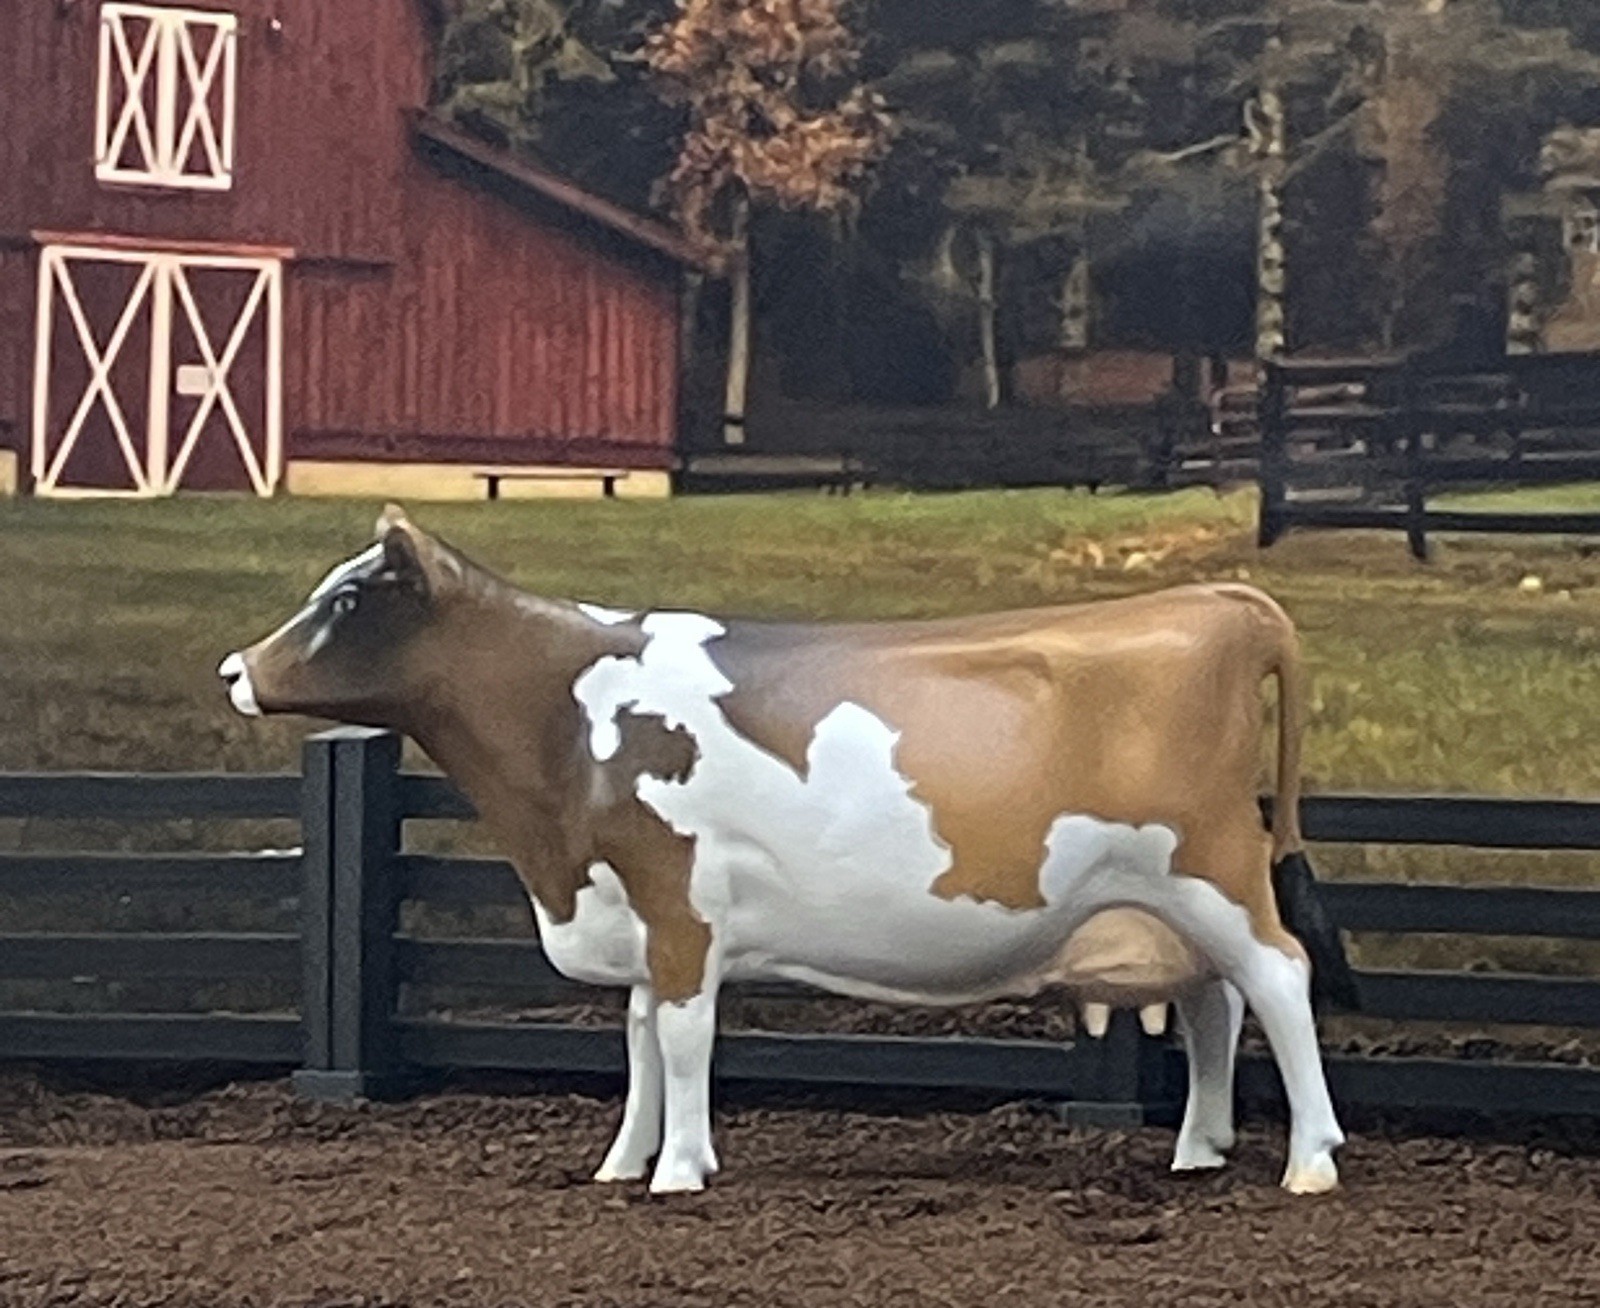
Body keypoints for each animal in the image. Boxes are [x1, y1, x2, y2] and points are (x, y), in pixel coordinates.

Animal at [220, 505, 1356, 1197]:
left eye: (348, 599)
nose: (234, 669)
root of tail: (1218, 601)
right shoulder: (639, 914)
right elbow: (637, 1040)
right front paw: (622, 1162)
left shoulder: (677, 898)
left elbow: (683, 1039)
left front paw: (681, 1169)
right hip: (1170, 899)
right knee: (1215, 1004)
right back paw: (1199, 1151)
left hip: (1210, 869)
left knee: (1278, 979)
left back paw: (1309, 1160)